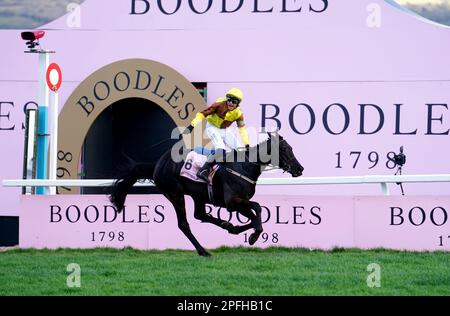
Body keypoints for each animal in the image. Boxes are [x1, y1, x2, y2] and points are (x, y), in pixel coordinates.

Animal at [110, 132, 304, 256]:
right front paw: (254, 235)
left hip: (198, 195)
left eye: (291, 148)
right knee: (184, 224)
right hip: (175, 194)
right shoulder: (232, 201)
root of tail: (157, 164)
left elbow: (253, 214)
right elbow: (256, 209)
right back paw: (203, 251)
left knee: (200, 214)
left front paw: (238, 229)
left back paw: (227, 227)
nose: (300, 169)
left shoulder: (238, 202)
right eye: (284, 150)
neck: (244, 166)